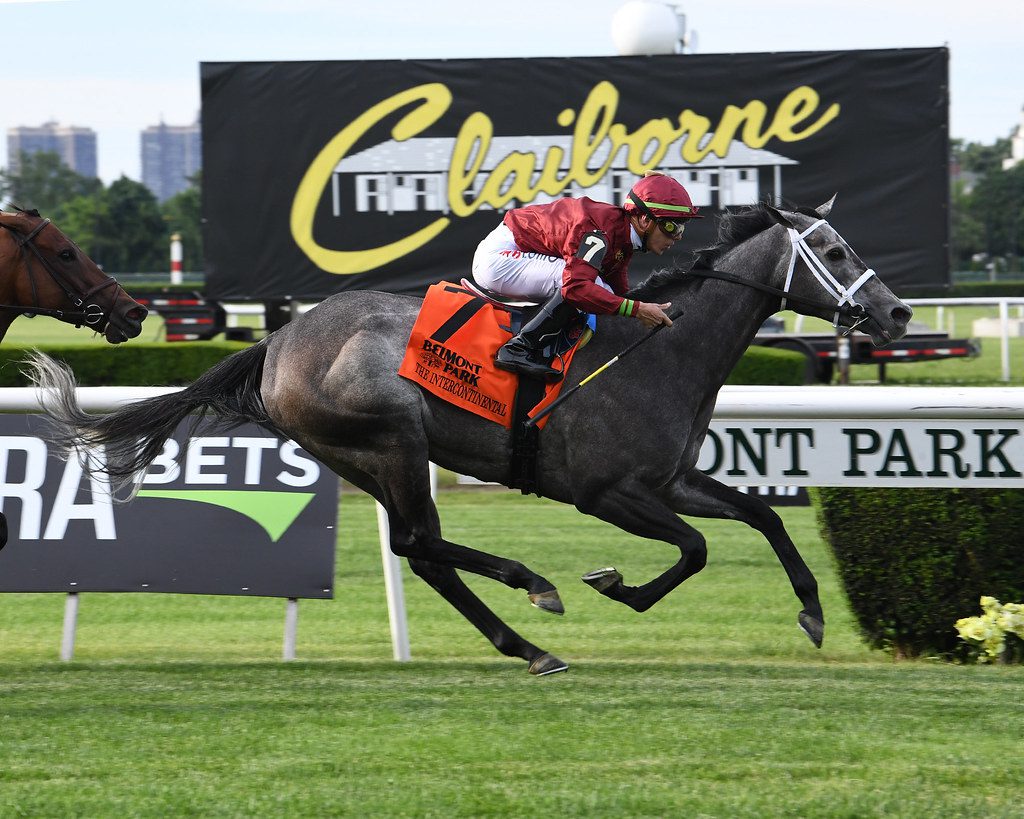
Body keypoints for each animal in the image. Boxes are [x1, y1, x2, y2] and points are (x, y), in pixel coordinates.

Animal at [28, 196, 913, 671]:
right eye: (834, 251)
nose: (899, 311)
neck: (661, 350)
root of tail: (278, 341)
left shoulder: (669, 479)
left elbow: (759, 516)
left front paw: (812, 611)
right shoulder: (606, 492)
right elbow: (693, 549)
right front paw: (613, 583)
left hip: (365, 454)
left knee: (418, 550)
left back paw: (525, 635)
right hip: (391, 440)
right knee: (421, 543)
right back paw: (533, 591)